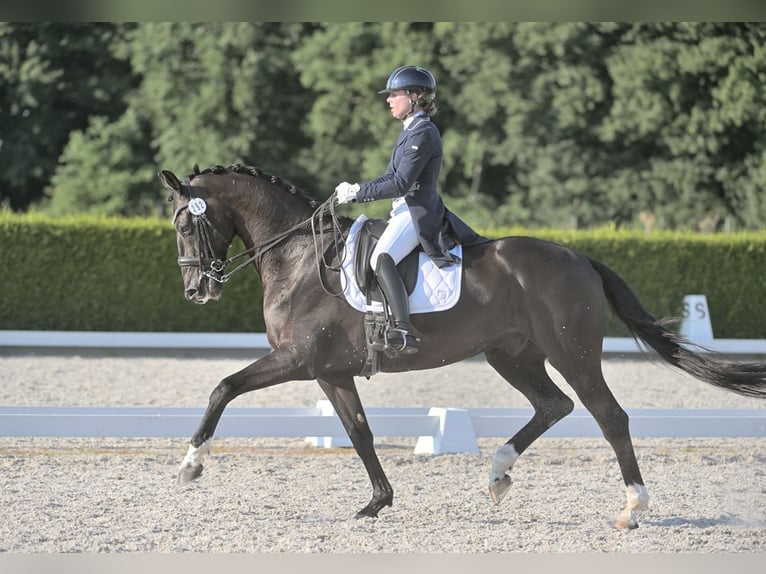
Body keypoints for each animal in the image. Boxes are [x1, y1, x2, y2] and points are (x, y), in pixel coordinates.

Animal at [158, 163, 766, 530]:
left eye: (186, 227)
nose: (195, 291)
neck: (301, 258)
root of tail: (579, 257)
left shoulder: (298, 360)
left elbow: (223, 387)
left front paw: (190, 465)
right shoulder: (332, 372)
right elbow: (359, 432)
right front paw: (377, 503)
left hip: (571, 353)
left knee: (608, 415)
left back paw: (632, 508)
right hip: (511, 354)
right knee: (554, 405)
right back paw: (498, 475)